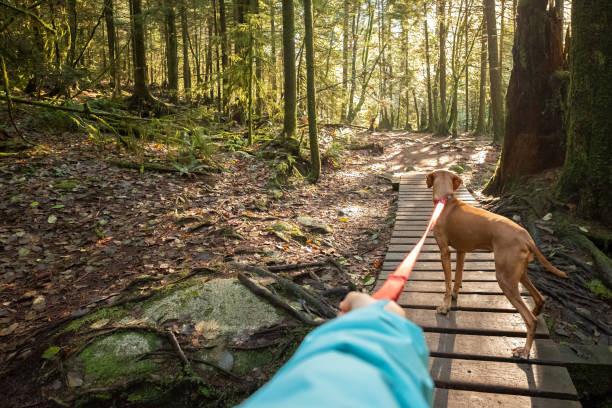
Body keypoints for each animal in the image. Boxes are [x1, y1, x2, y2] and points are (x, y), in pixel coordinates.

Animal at [428, 171, 568, 358]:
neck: (447, 200)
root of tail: (527, 238)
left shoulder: (444, 252)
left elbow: (447, 284)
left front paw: (445, 307)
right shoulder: (461, 251)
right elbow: (457, 278)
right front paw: (455, 296)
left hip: (505, 279)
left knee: (530, 320)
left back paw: (525, 350)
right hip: (518, 274)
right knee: (540, 297)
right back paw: (536, 312)